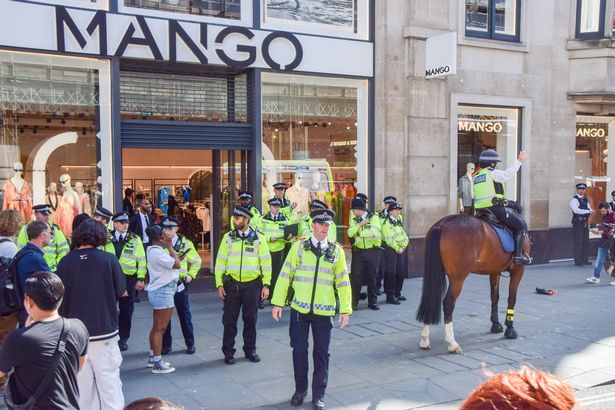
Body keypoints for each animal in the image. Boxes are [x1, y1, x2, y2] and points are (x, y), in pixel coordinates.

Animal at [416, 215, 532, 352]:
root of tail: (441, 225)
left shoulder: (494, 271)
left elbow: (494, 297)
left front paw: (496, 325)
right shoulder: (518, 270)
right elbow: (512, 298)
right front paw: (510, 328)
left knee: (431, 299)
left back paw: (425, 340)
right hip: (458, 278)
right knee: (448, 303)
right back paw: (452, 343)